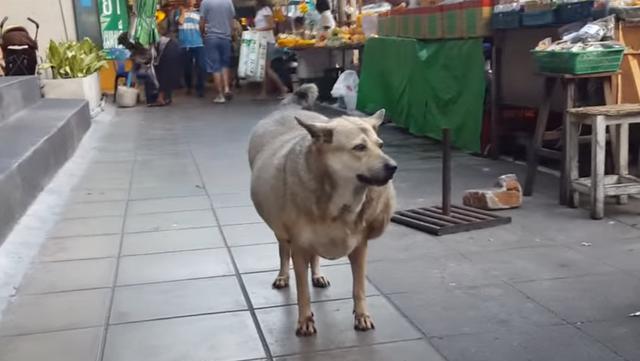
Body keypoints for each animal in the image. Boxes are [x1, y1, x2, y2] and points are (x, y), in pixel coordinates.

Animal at [249, 84, 396, 334]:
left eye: (381, 145)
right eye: (359, 147)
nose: (393, 167)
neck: (342, 200)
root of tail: (289, 108)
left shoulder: (359, 247)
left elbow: (359, 286)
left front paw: (362, 315)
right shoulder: (298, 247)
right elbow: (302, 291)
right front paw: (305, 319)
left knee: (315, 256)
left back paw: (317, 274)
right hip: (281, 229)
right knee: (283, 250)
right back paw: (283, 275)